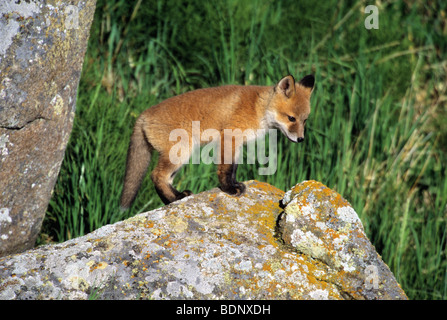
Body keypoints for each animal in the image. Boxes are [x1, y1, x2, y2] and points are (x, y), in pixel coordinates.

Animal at [119, 74, 316, 209]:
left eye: (305, 120)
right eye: (291, 118)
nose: (301, 139)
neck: (257, 109)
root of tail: (143, 115)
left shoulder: (238, 144)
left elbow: (233, 168)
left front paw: (235, 184)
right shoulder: (228, 137)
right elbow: (225, 169)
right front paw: (229, 189)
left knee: (164, 178)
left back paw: (175, 198)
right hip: (181, 152)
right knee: (157, 176)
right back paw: (176, 198)